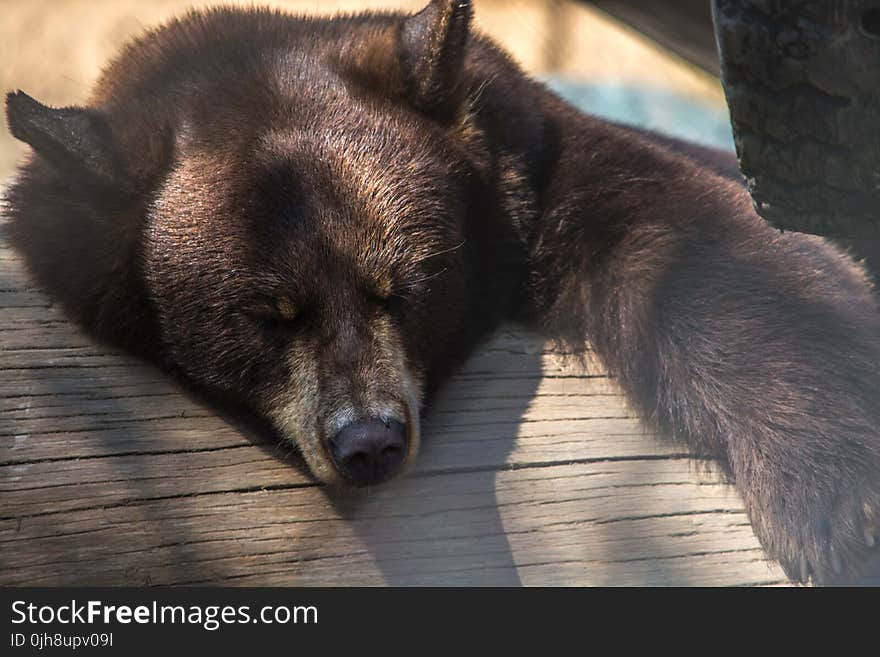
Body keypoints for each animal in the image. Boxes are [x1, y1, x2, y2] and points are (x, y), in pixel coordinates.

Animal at [1, 0, 880, 584]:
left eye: (404, 284)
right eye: (267, 314)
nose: (369, 441)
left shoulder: (534, 166)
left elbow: (700, 241)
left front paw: (840, 502)